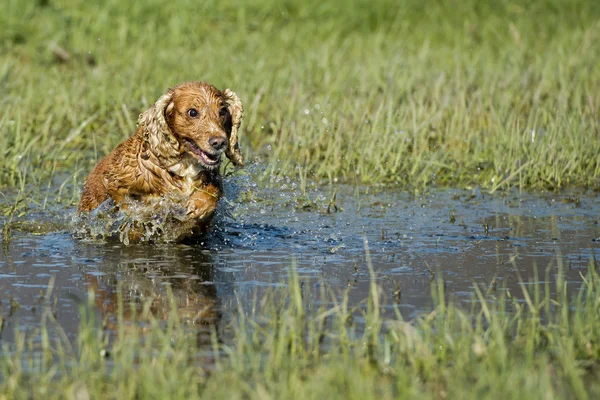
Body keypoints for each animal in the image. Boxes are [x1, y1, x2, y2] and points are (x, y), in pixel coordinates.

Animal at [79, 82, 244, 238]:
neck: (184, 163)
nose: (220, 142)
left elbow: (213, 192)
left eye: (223, 111)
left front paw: (199, 205)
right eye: (192, 112)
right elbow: (129, 208)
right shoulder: (115, 181)